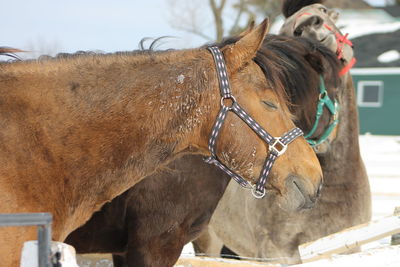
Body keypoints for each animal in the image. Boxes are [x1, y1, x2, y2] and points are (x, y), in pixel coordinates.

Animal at [194, 0, 372, 264]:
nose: (307, 25)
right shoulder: (278, 253)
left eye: (324, 10)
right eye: (286, 26)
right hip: (207, 242)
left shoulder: (351, 247)